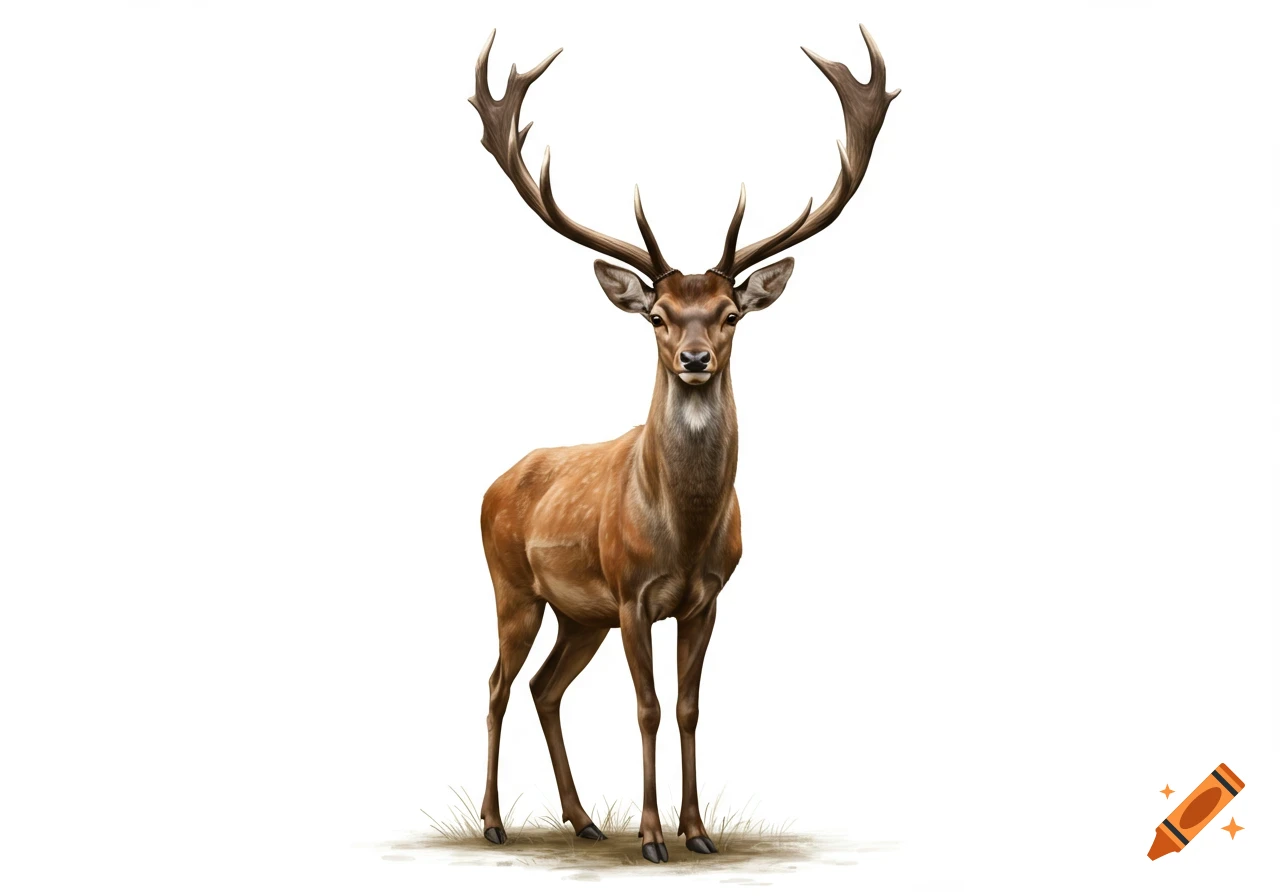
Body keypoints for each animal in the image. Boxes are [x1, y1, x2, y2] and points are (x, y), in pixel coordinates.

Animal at [467, 25, 896, 863]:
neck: (685, 532)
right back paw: (496, 821)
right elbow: (648, 707)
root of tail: (494, 483)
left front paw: (696, 831)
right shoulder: (632, 592)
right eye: (658, 315)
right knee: (498, 683)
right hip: (513, 586)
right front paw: (652, 836)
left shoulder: (708, 598)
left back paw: (582, 818)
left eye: (730, 313)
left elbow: (692, 707)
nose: (695, 358)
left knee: (544, 686)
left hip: (580, 615)